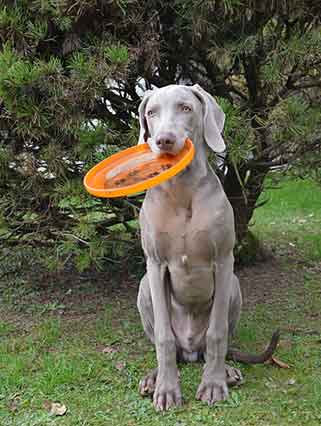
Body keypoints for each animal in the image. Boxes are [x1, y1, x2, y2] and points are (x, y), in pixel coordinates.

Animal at [135, 85, 278, 412]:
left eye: (186, 108)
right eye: (151, 113)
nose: (164, 140)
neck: (182, 190)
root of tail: (191, 350)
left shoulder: (224, 262)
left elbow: (217, 333)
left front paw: (213, 385)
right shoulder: (155, 264)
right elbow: (163, 338)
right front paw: (167, 390)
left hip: (235, 286)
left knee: (216, 341)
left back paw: (227, 371)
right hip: (144, 287)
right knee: (170, 344)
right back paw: (153, 378)